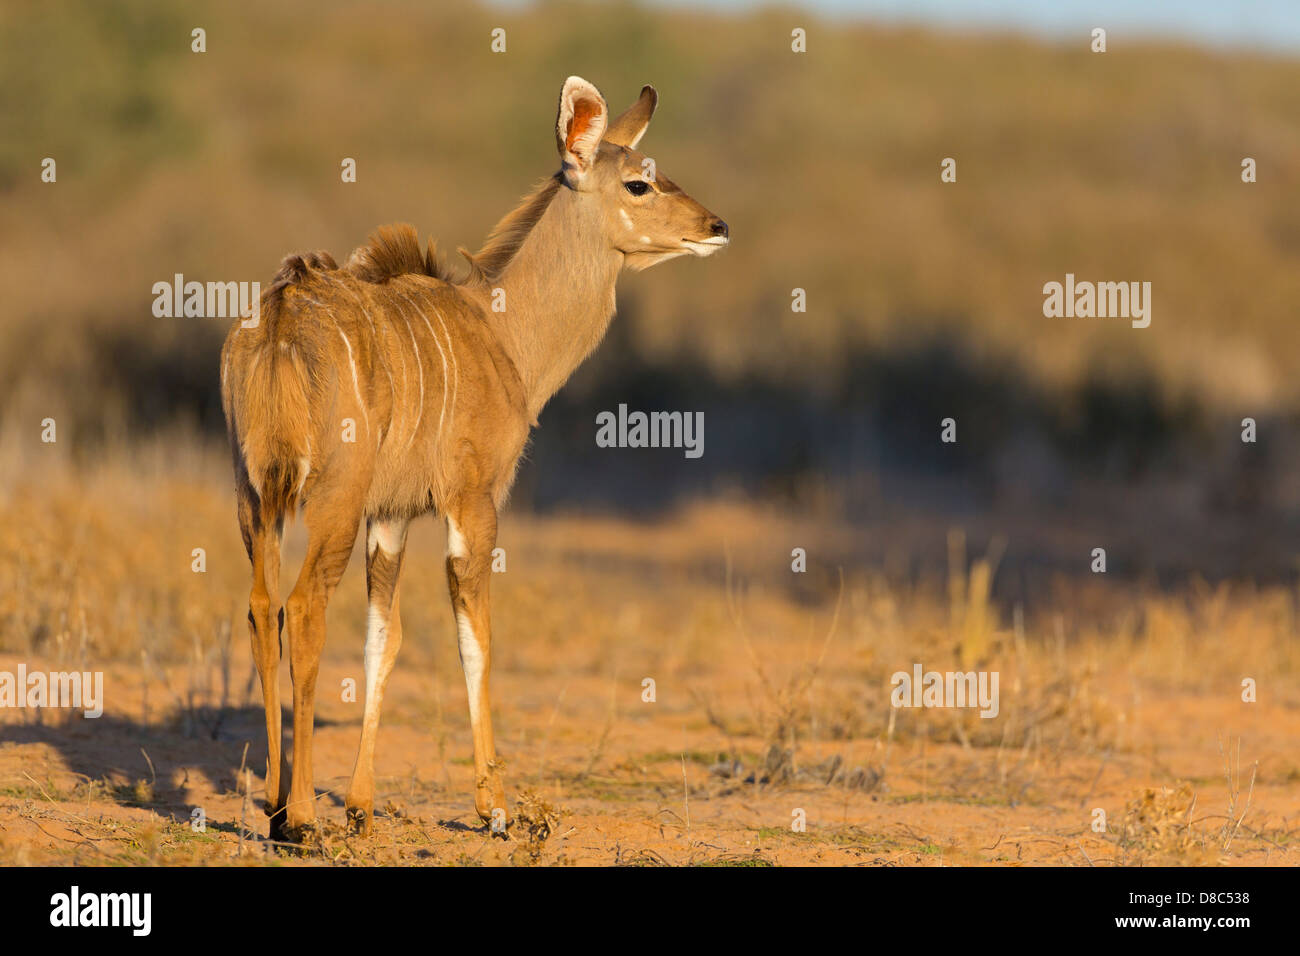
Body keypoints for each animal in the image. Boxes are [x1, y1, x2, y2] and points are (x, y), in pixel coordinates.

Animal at [223, 76, 733, 837]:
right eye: (639, 183)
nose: (716, 226)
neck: (503, 333)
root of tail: (282, 316)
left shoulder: (392, 516)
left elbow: (384, 639)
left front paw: (363, 806)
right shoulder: (472, 502)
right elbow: (476, 640)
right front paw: (495, 806)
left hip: (256, 499)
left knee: (262, 608)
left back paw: (278, 804)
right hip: (330, 503)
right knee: (304, 608)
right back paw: (301, 816)